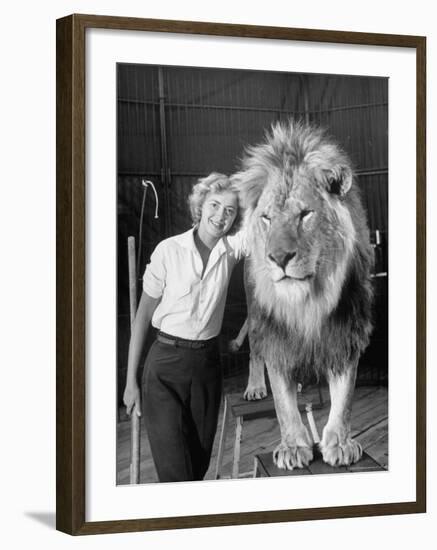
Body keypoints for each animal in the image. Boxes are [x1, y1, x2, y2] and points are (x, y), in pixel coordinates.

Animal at [233, 121, 372, 470]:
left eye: (305, 214)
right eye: (267, 218)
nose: (279, 257)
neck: (308, 301)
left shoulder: (345, 331)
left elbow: (345, 397)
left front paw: (339, 443)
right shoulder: (276, 335)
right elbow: (283, 403)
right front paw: (293, 446)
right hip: (255, 314)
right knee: (256, 352)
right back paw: (255, 386)